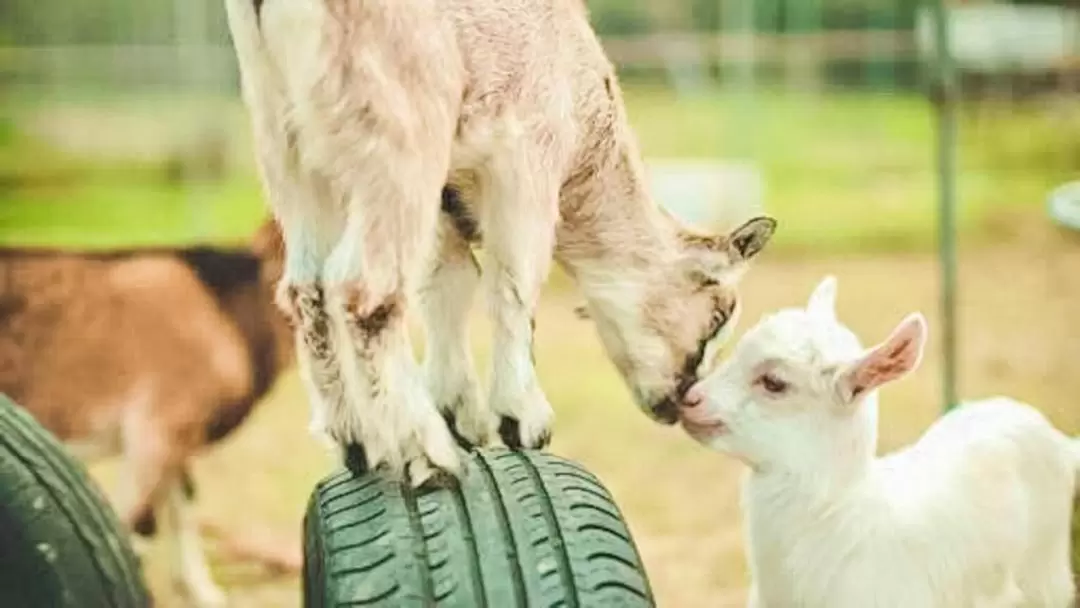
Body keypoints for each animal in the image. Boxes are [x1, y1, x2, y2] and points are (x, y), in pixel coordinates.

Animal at [0, 221, 295, 604]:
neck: (222, 313)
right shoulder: (156, 429)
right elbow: (135, 526)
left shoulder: (181, 434)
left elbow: (183, 505)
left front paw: (202, 591)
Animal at [223, 0, 777, 485]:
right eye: (719, 316)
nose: (680, 401)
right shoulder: (527, 158)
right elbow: (514, 282)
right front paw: (521, 419)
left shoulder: (448, 194)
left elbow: (447, 284)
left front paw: (458, 412)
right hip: (399, 128)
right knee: (365, 288)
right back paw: (428, 455)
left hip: (286, 140)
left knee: (306, 288)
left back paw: (356, 441)